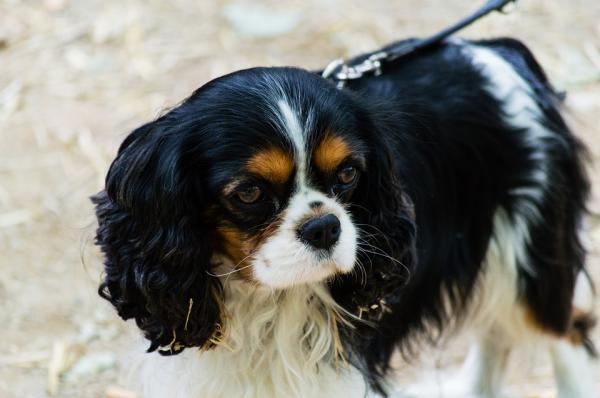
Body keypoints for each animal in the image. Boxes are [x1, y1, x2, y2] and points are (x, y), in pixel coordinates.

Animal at [92, 38, 596, 398]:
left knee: (564, 333)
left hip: (531, 253)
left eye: (349, 173)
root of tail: (495, 52)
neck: (263, 300)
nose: (324, 227)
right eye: (250, 192)